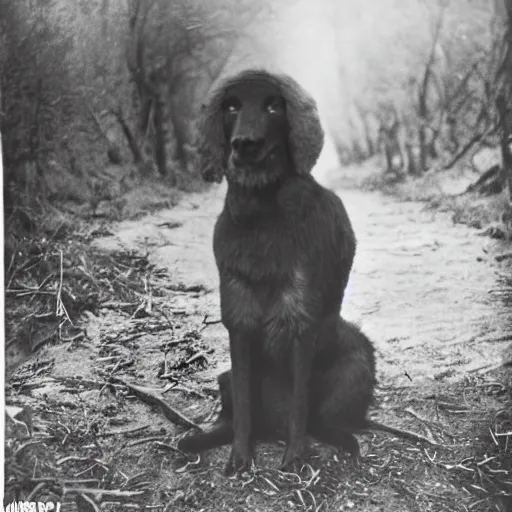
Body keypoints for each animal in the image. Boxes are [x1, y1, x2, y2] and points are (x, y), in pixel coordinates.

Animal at [184, 70, 356, 474]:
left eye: (274, 107)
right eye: (231, 107)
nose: (245, 145)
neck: (260, 215)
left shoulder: (301, 319)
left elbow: (299, 403)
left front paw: (294, 456)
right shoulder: (238, 318)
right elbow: (245, 405)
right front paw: (240, 456)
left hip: (356, 358)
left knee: (323, 417)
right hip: (225, 377)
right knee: (232, 410)